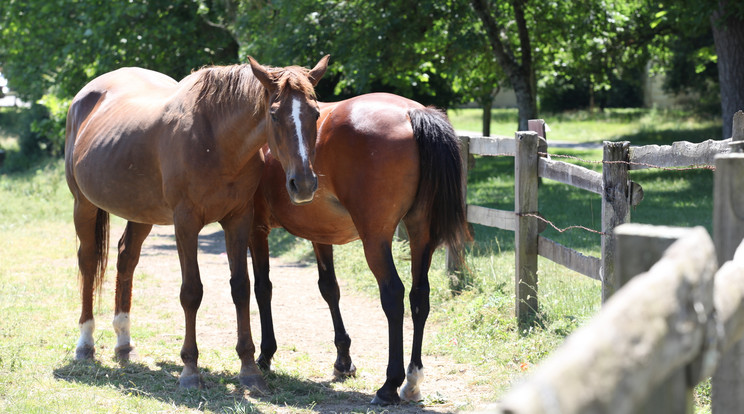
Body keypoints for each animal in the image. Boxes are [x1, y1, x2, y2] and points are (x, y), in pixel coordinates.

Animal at [63, 55, 328, 392]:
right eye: (274, 114)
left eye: (315, 113)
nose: (304, 184)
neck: (215, 139)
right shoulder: (186, 223)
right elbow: (191, 292)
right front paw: (190, 369)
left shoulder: (238, 220)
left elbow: (241, 288)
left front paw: (249, 369)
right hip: (83, 205)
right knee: (87, 262)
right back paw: (85, 343)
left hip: (141, 213)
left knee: (126, 259)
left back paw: (124, 343)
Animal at [251, 93, 470, 404]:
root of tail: (411, 112)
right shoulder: (321, 233)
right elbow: (329, 288)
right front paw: (343, 360)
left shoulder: (254, 227)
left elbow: (262, 288)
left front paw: (266, 354)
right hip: (420, 233)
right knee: (419, 296)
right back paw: (413, 381)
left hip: (375, 240)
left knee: (393, 294)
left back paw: (390, 385)